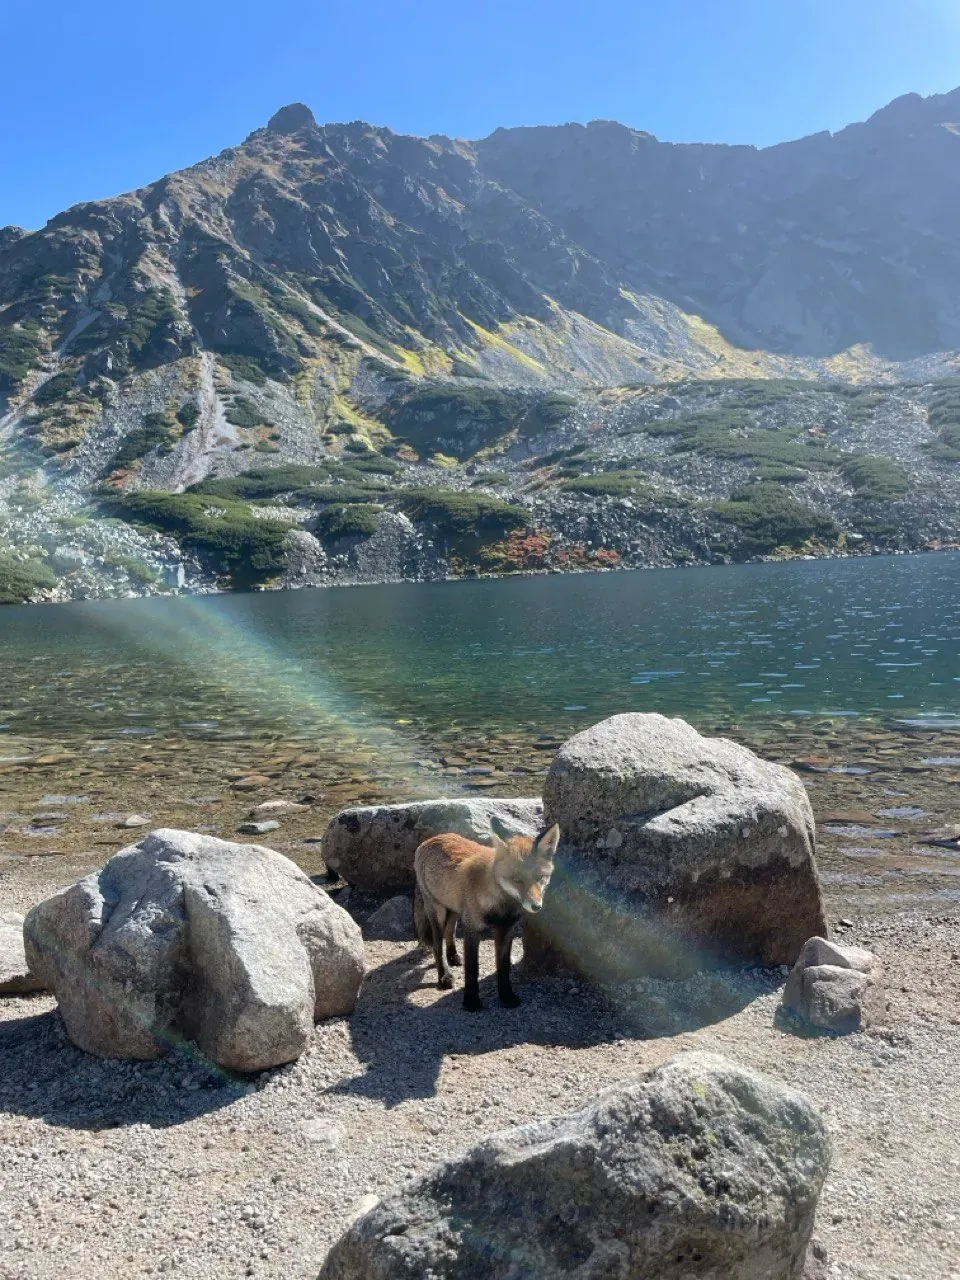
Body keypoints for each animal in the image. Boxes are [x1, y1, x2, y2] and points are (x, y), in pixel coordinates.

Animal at [414, 817, 560, 1012]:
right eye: (517, 879)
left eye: (540, 877)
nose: (536, 906)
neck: (501, 906)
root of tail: (431, 839)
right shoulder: (472, 928)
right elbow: (472, 969)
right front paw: (471, 1001)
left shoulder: (506, 929)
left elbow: (504, 968)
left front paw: (506, 996)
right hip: (437, 912)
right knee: (438, 945)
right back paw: (444, 975)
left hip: (455, 910)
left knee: (449, 931)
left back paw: (452, 956)